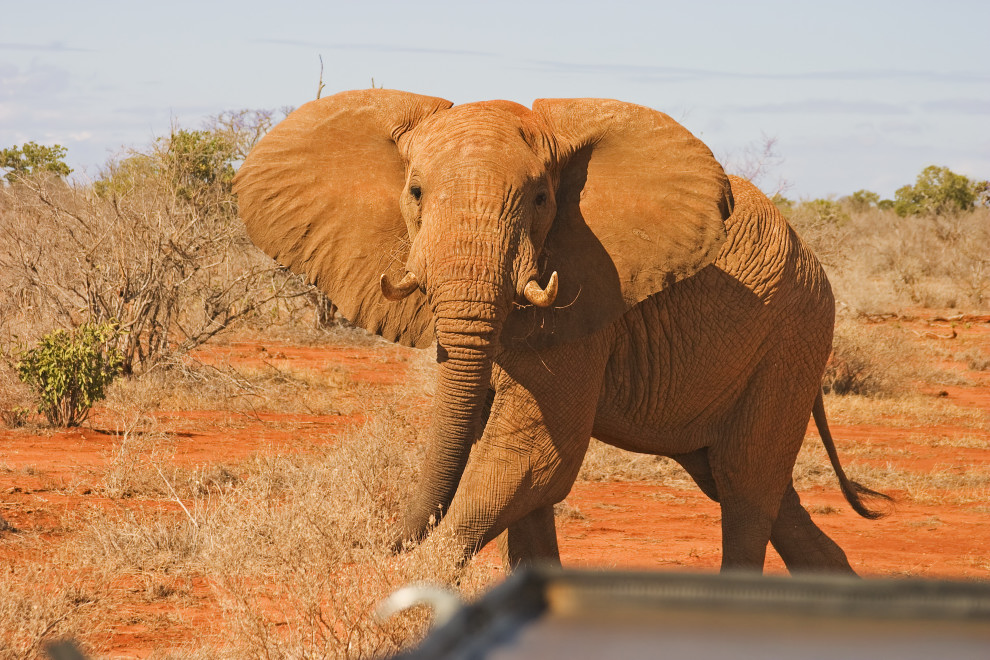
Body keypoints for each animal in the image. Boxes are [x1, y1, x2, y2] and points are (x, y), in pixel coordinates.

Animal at [234, 87, 892, 572]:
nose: (382, 541)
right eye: (415, 193)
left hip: (794, 335)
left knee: (746, 489)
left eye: (540, 199)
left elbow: (535, 456)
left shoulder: (587, 289)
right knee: (752, 486)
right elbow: (517, 467)